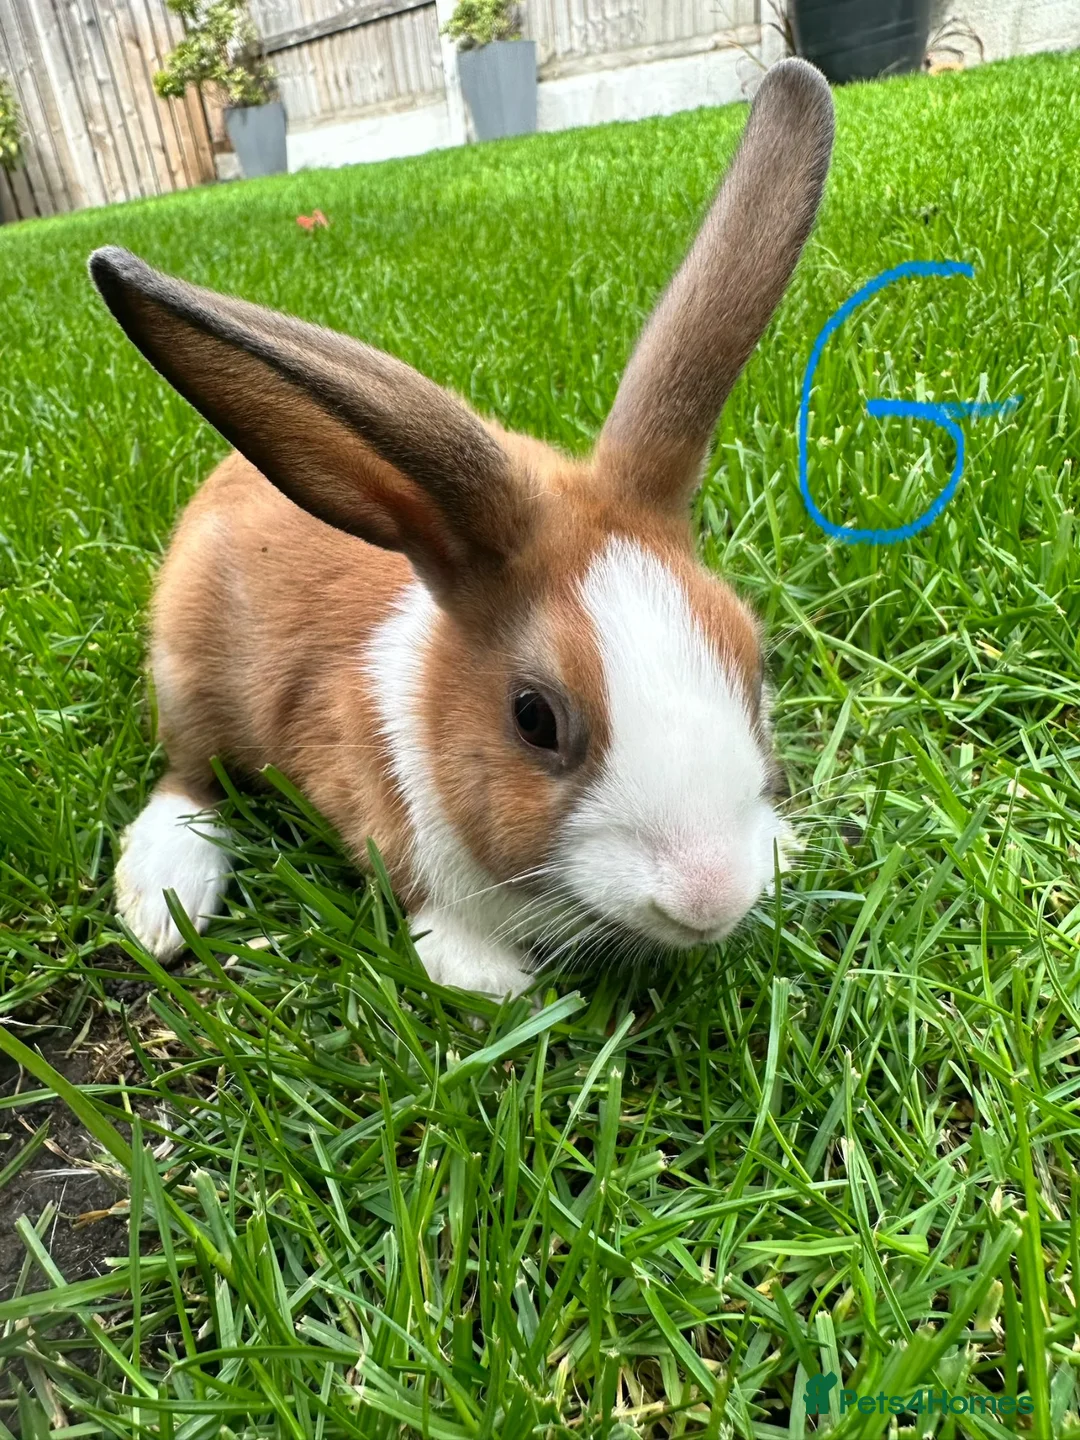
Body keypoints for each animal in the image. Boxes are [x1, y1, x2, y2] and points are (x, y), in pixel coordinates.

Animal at [90, 58, 834, 998]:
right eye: (534, 719)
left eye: (755, 661)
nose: (711, 897)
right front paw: (496, 983)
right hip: (186, 679)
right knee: (188, 781)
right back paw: (162, 901)